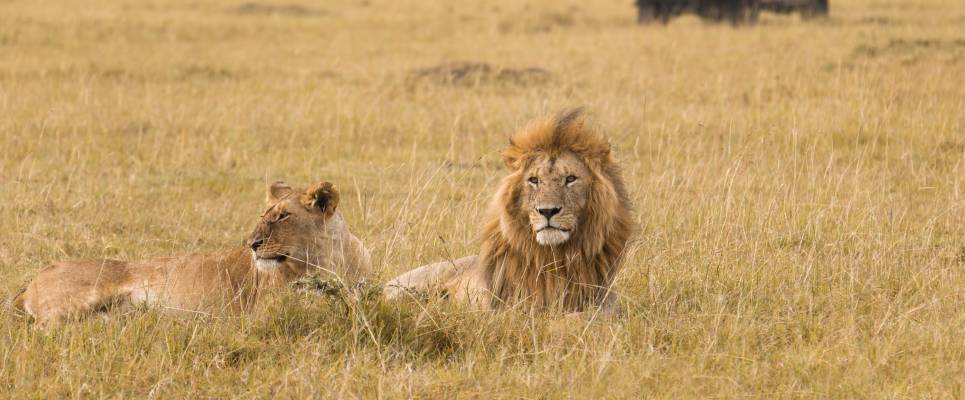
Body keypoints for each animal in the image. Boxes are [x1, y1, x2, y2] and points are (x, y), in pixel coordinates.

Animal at [11, 180, 371, 325]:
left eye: (283, 216)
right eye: (264, 214)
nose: (252, 244)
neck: (331, 260)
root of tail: (30, 282)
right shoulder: (265, 312)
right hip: (72, 303)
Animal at [384, 109, 633, 314]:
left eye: (570, 179)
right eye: (534, 180)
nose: (547, 211)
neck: (553, 258)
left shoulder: (603, 304)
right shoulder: (503, 307)